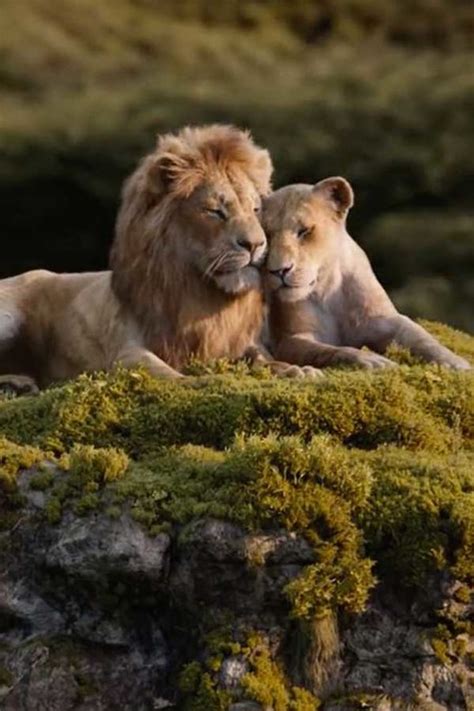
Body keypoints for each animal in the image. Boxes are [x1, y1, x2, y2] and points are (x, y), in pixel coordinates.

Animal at [0, 125, 319, 393]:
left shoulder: (238, 342)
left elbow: (265, 359)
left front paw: (297, 370)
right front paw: (202, 379)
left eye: (255, 209)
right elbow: (168, 373)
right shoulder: (125, 352)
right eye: (215, 211)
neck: (199, 291)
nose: (255, 244)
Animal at [261, 177, 471, 370]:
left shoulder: (383, 320)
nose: (279, 270)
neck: (327, 289)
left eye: (304, 231)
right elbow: (331, 350)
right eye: (267, 235)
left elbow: (421, 337)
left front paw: (457, 364)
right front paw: (373, 361)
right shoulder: (289, 340)